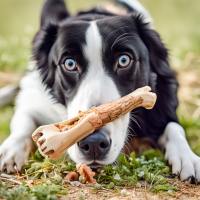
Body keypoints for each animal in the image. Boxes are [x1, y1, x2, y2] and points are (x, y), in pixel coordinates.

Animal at [0, 0, 199, 183]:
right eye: (69, 63)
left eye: (124, 60)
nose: (94, 143)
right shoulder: (34, 97)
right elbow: (24, 121)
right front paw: (10, 149)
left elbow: (174, 127)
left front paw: (187, 156)